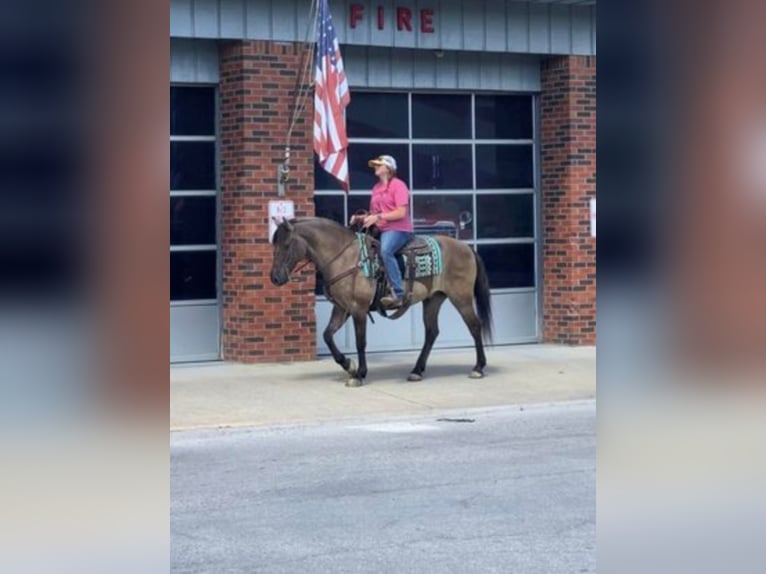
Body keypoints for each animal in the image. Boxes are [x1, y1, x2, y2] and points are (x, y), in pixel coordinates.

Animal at [270, 218, 496, 390]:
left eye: (286, 244)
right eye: (274, 244)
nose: (275, 277)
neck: (346, 258)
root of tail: (467, 248)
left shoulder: (358, 309)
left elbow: (360, 342)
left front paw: (359, 374)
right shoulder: (342, 308)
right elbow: (327, 335)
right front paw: (348, 365)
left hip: (461, 297)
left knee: (475, 326)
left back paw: (478, 368)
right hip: (433, 299)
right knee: (432, 332)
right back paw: (416, 371)